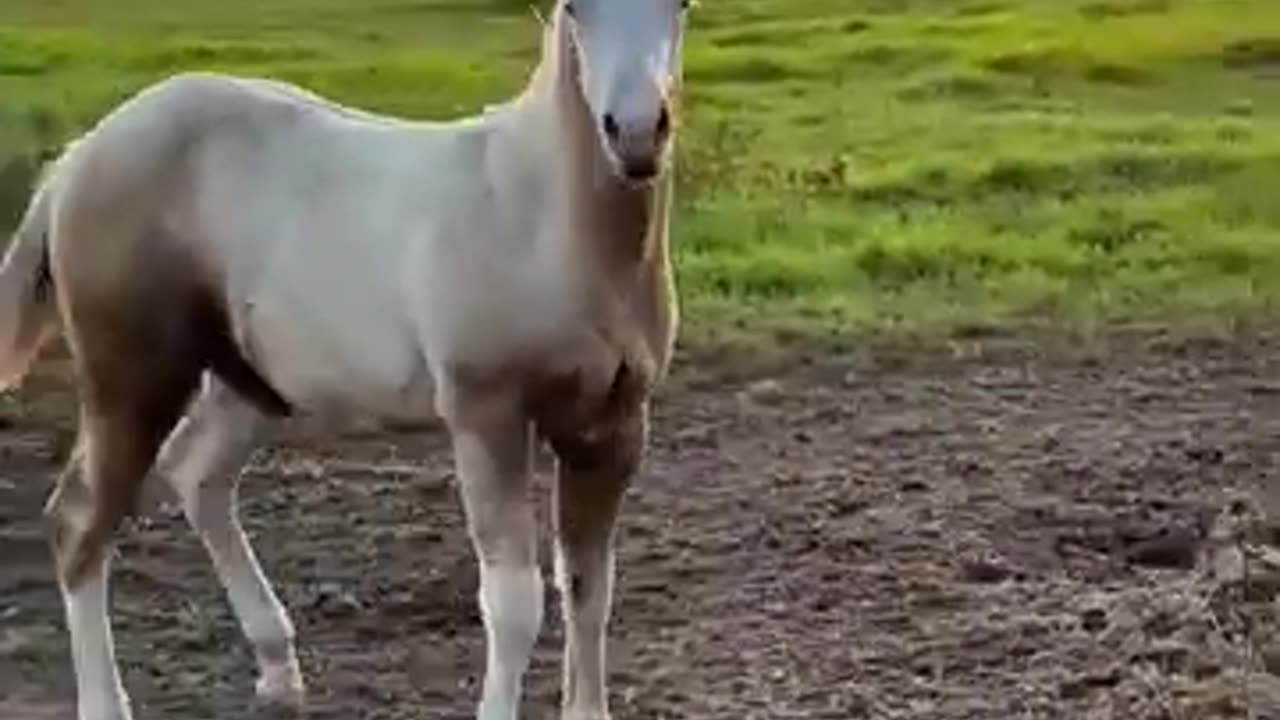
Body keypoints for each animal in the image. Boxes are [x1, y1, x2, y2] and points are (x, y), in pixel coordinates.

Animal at [0, 0, 689, 718]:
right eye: (575, 10)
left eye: (682, 5)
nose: (636, 134)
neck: (537, 219)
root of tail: (77, 157)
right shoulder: (486, 412)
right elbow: (513, 604)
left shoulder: (613, 425)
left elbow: (589, 586)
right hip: (132, 377)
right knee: (80, 522)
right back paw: (111, 699)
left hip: (252, 377)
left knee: (196, 471)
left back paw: (278, 667)